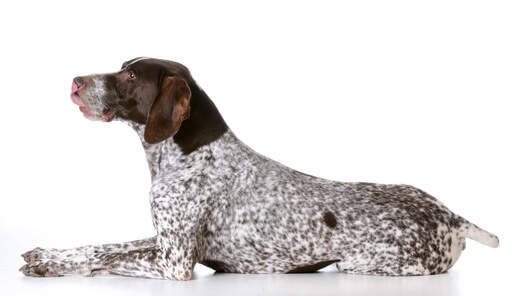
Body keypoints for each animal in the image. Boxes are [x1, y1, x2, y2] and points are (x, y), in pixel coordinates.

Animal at [21, 57, 500, 280]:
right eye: (122, 69)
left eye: (132, 77)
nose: (76, 81)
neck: (183, 157)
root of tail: (451, 215)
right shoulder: (163, 241)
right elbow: (99, 248)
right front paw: (47, 254)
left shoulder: (173, 262)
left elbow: (104, 261)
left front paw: (49, 268)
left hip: (360, 264)